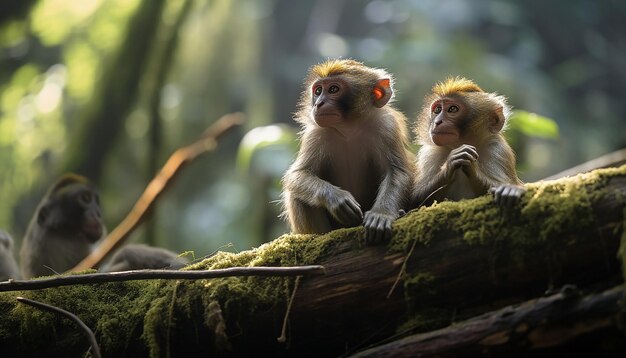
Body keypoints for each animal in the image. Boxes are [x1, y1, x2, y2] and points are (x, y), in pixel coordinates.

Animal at [280, 59, 412, 243]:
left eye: (333, 89)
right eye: (318, 91)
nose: (318, 103)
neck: (349, 128)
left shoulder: (387, 126)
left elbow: (397, 172)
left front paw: (381, 214)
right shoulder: (316, 135)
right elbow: (297, 175)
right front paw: (336, 198)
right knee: (297, 194)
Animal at [412, 77, 524, 208]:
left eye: (453, 109)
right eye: (437, 110)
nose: (437, 122)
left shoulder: (498, 150)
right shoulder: (430, 153)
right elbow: (416, 199)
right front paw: (450, 164)